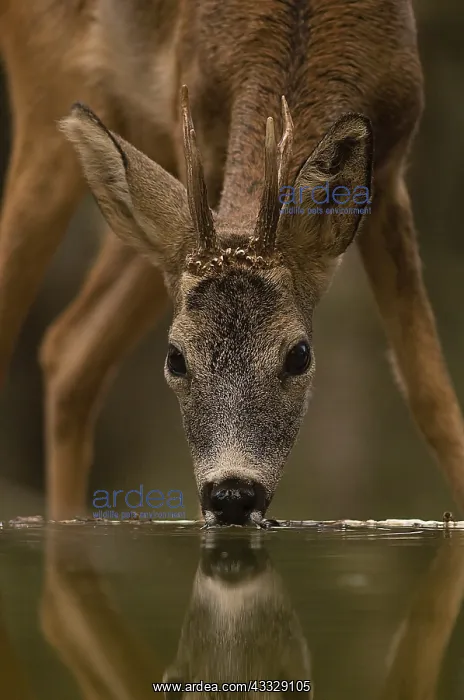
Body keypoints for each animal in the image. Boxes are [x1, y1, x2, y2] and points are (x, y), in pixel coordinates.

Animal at [1, 0, 464, 526]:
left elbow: (433, 399)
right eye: (175, 357)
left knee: (72, 348)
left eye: (299, 354)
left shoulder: (389, 170)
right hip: (47, 92)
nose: (233, 496)